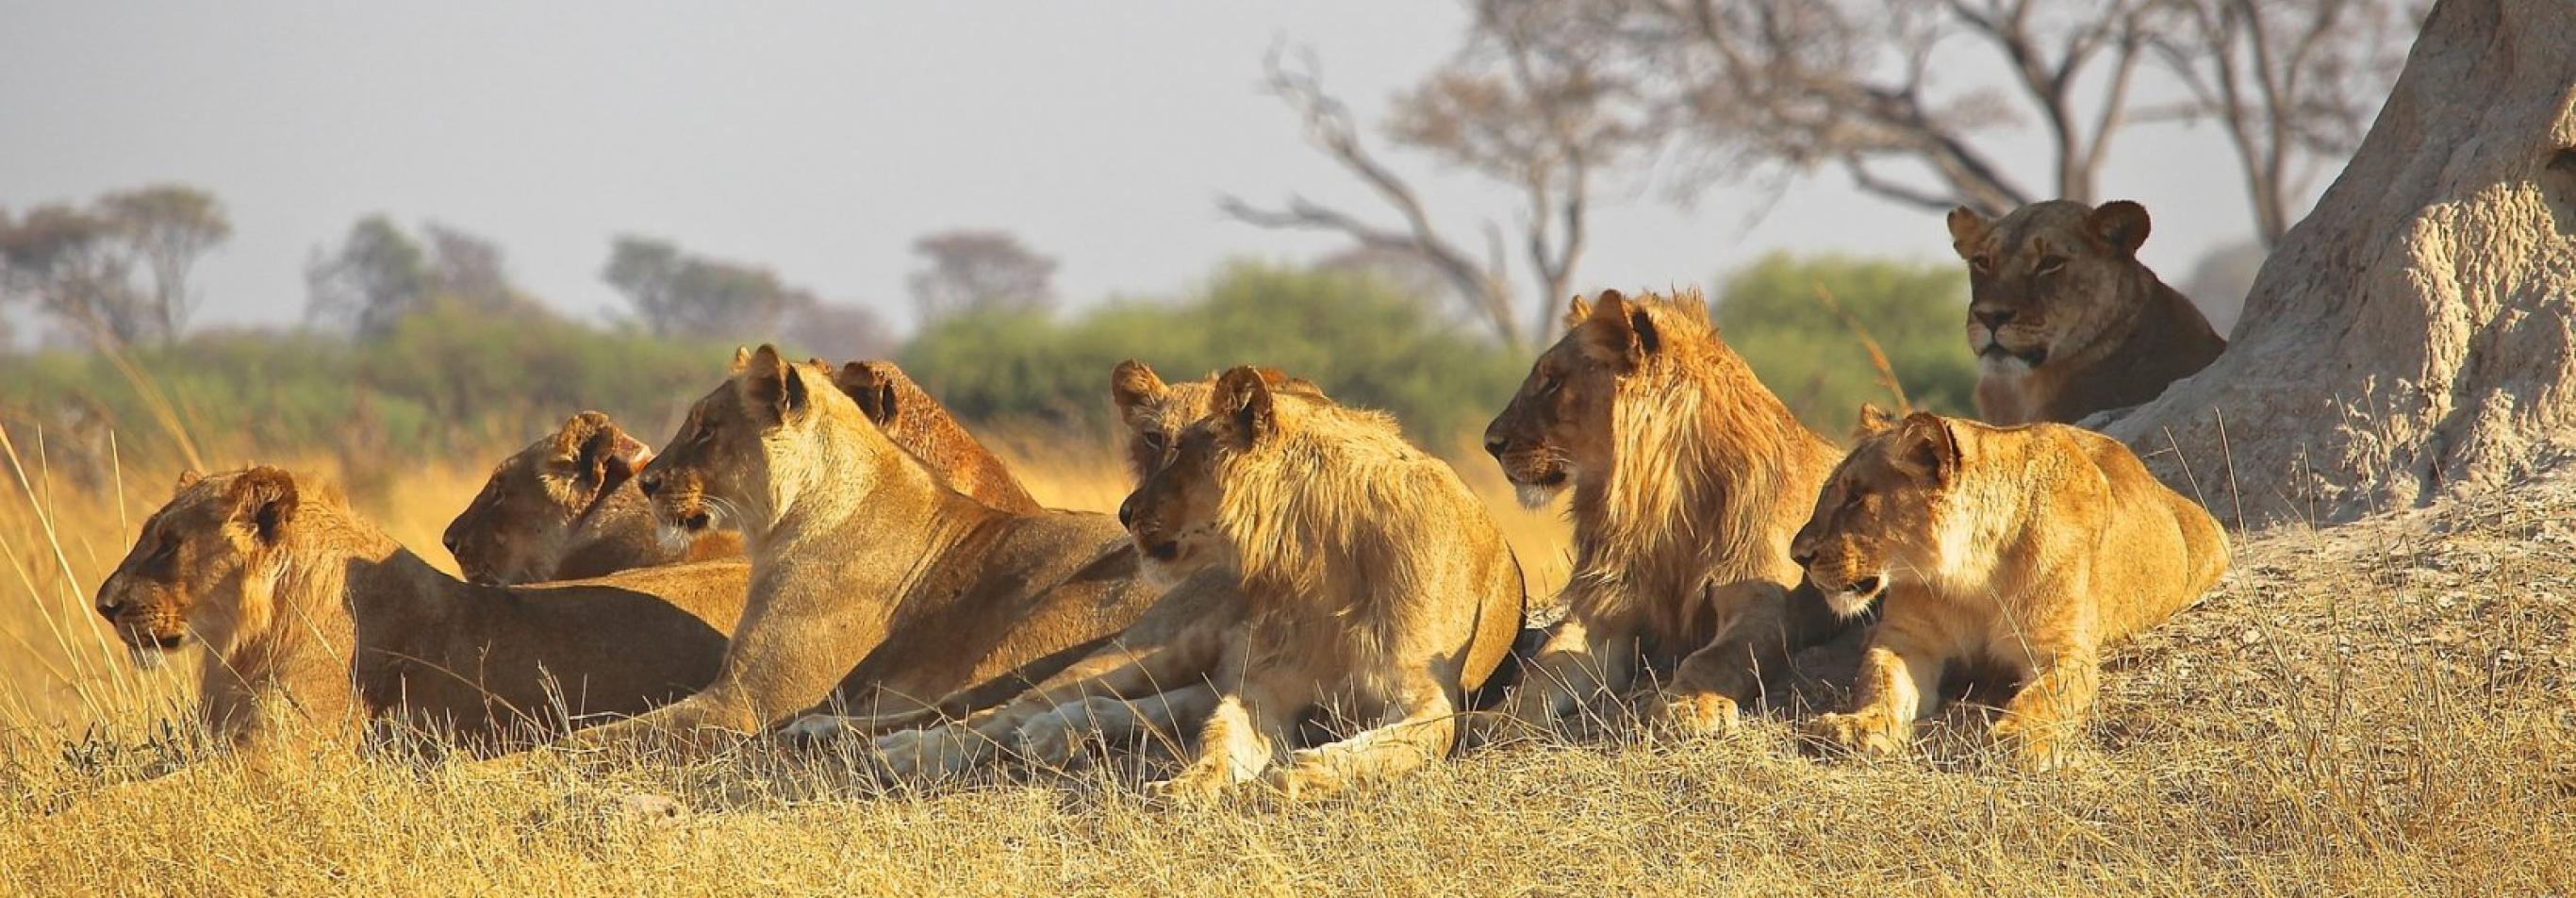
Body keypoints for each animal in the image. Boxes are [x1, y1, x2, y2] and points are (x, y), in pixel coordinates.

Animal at [1133, 363, 1525, 800]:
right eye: (1157, 442)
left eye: (1181, 452)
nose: (1124, 512)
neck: (1321, 558)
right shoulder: (1266, 681)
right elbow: (1219, 734)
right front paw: (1187, 782)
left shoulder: (1427, 693)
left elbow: (1394, 744)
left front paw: (1300, 772)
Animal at [1483, 292, 1864, 738]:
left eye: (1553, 381)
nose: (1490, 443)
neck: (1662, 506)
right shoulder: (1604, 611)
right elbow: (1545, 669)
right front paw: (1495, 718)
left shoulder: (1765, 606)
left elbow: (1715, 658)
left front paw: (1689, 705)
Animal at [1792, 409, 2236, 769]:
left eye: (1856, 498)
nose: (1798, 555)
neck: (1971, 577)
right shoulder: (1907, 641)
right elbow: (1880, 681)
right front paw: (1856, 727)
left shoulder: (2062, 650)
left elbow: (2044, 696)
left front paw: (2020, 739)